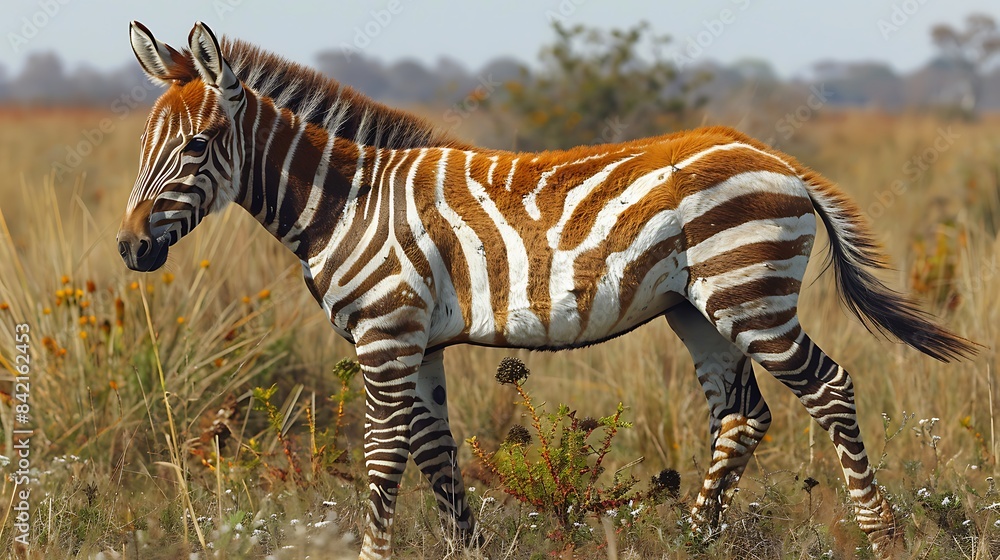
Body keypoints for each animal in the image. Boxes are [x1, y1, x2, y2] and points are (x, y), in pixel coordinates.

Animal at [117, 20, 976, 556]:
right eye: (144, 145)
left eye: (198, 146)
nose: (130, 248)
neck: (347, 202)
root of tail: (775, 156)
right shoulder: (420, 341)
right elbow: (435, 450)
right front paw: (470, 549)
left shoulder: (386, 334)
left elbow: (384, 453)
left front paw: (372, 552)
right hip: (699, 309)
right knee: (741, 417)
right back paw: (695, 540)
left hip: (748, 296)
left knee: (829, 388)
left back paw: (881, 533)